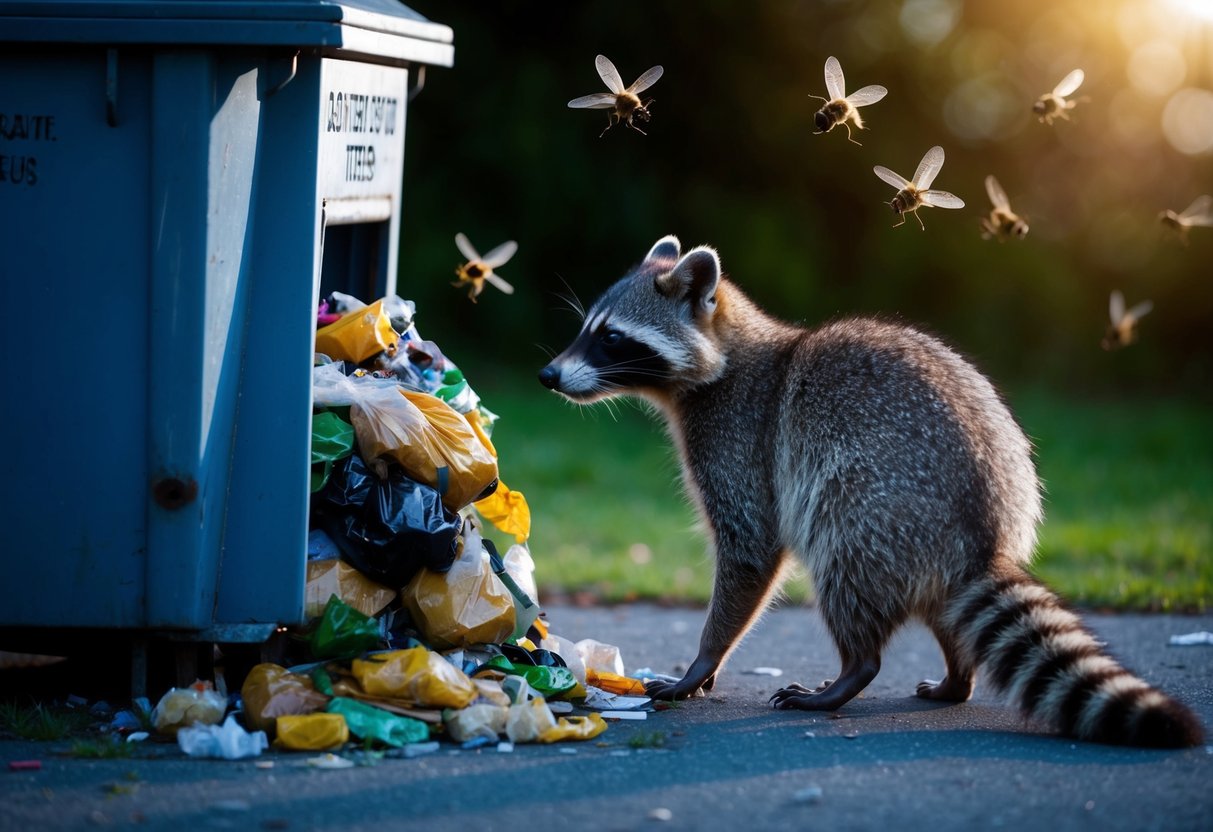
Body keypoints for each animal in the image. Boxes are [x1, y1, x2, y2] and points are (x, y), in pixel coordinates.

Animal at [538, 232, 1203, 751]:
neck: (727, 354)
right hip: (947, 528)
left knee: (842, 565)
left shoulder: (740, 439)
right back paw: (957, 674)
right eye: (586, 330)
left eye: (612, 338)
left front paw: (702, 661)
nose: (547, 375)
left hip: (875, 504)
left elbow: (750, 551)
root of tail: (985, 531)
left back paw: (848, 676)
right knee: (946, 608)